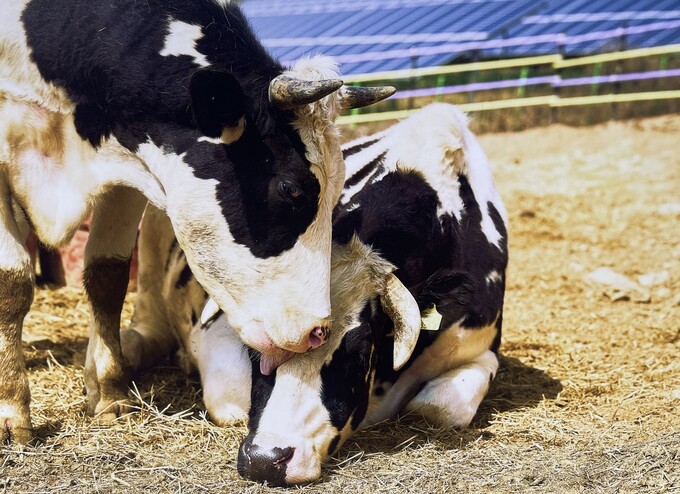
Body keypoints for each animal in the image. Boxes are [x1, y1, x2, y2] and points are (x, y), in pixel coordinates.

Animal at [0, 0, 393, 443]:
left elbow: (107, 279)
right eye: (290, 188)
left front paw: (110, 395)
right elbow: (11, 282)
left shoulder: (124, 167)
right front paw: (12, 410)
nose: (317, 332)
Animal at [125, 103, 509, 486]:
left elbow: (440, 407)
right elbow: (231, 400)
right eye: (258, 351)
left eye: (359, 351)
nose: (265, 460)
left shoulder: (479, 348)